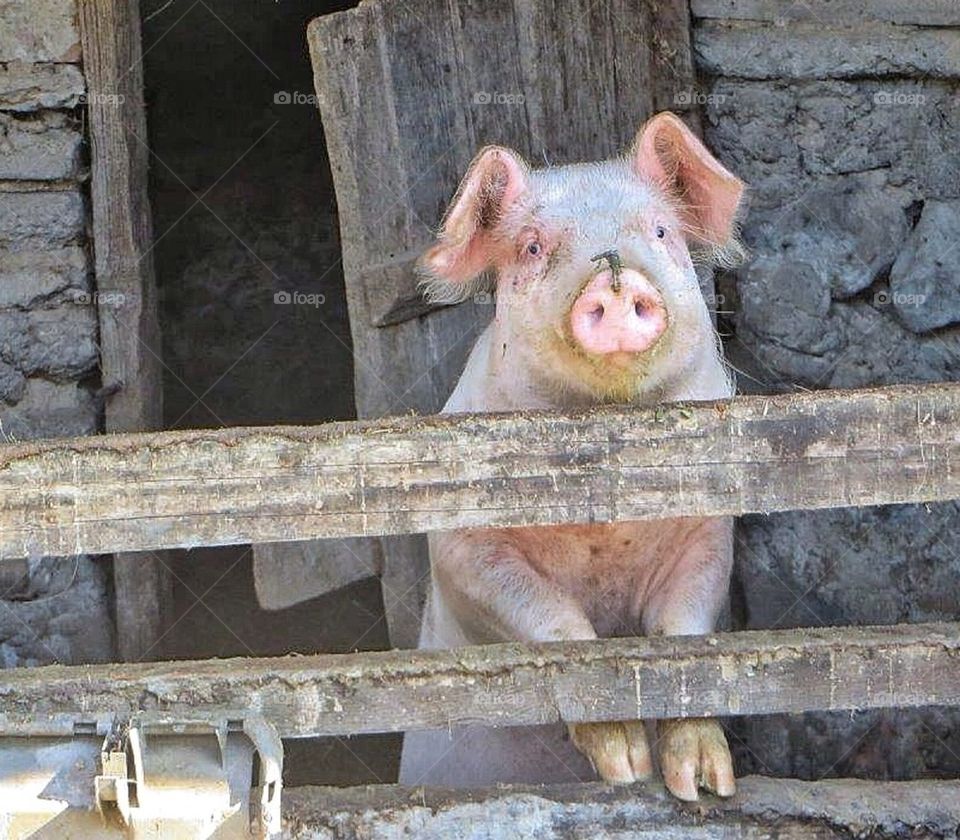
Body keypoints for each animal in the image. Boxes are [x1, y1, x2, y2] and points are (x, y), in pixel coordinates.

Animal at [398, 112, 745, 801]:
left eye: (660, 230)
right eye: (533, 247)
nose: (614, 277)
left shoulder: (707, 533)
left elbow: (684, 632)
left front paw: (701, 786)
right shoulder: (463, 551)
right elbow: (557, 621)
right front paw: (627, 770)